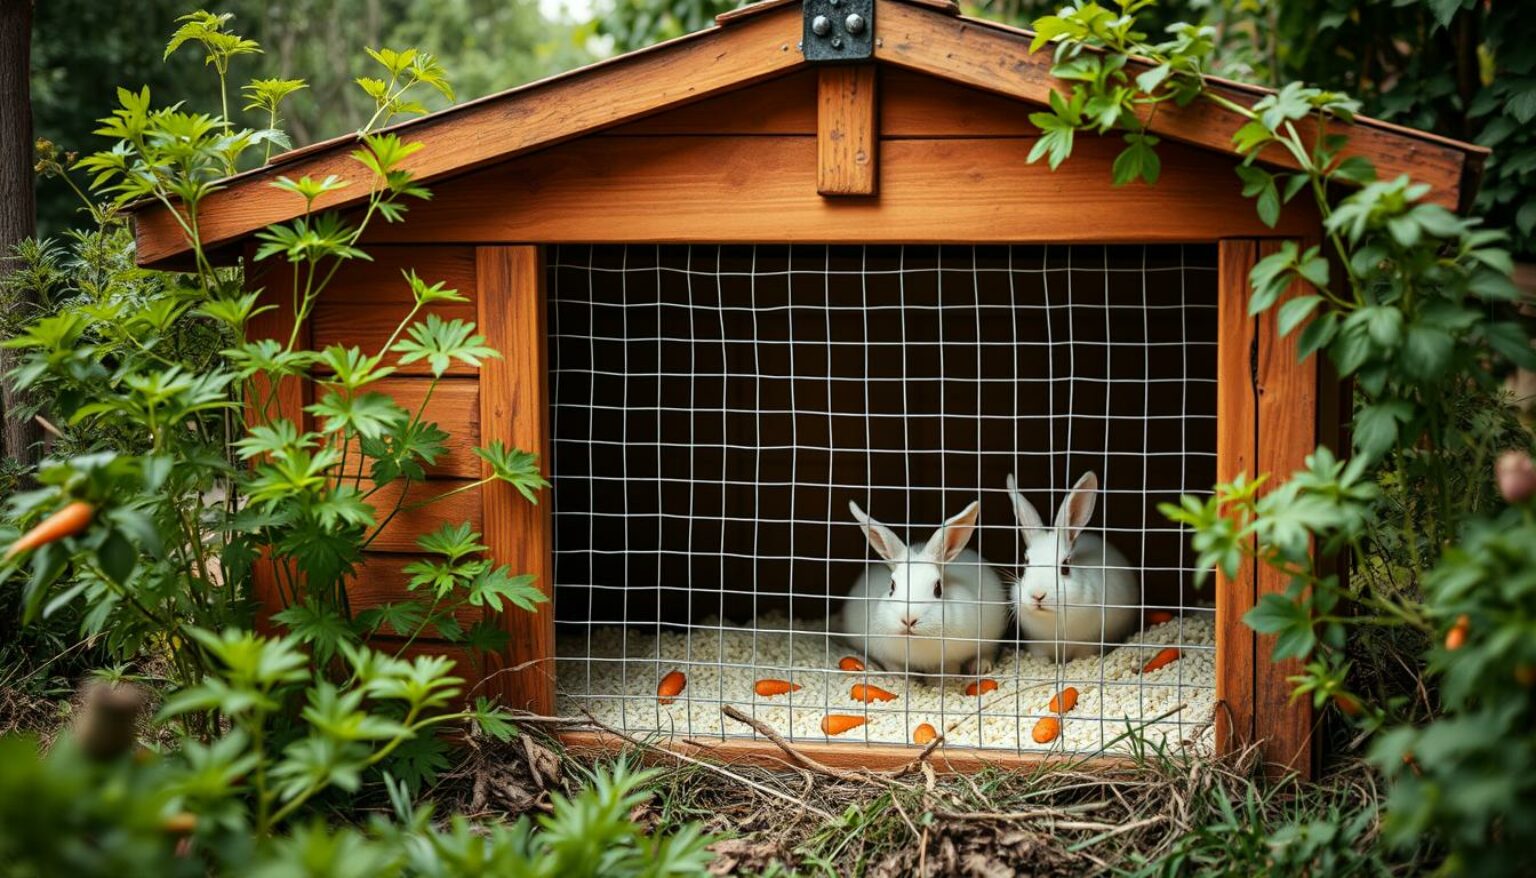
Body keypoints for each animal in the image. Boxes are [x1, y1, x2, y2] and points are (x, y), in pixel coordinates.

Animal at [837, 499, 1010, 678]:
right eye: (892, 586)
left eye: (938, 588)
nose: (908, 619)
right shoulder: (887, 656)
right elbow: (895, 667)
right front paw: (898, 677)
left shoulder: (952, 658)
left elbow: (950, 669)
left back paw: (980, 666)